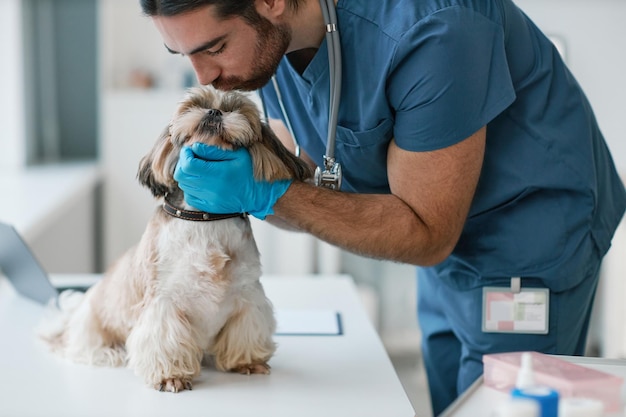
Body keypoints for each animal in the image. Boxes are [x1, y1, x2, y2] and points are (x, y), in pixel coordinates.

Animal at [39, 86, 312, 392]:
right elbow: (164, 338)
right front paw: (171, 376)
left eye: (234, 109)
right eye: (194, 105)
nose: (214, 111)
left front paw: (247, 361)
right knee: (83, 347)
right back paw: (110, 352)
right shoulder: (163, 302)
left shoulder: (248, 296)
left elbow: (246, 331)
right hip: (92, 323)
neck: (205, 217)